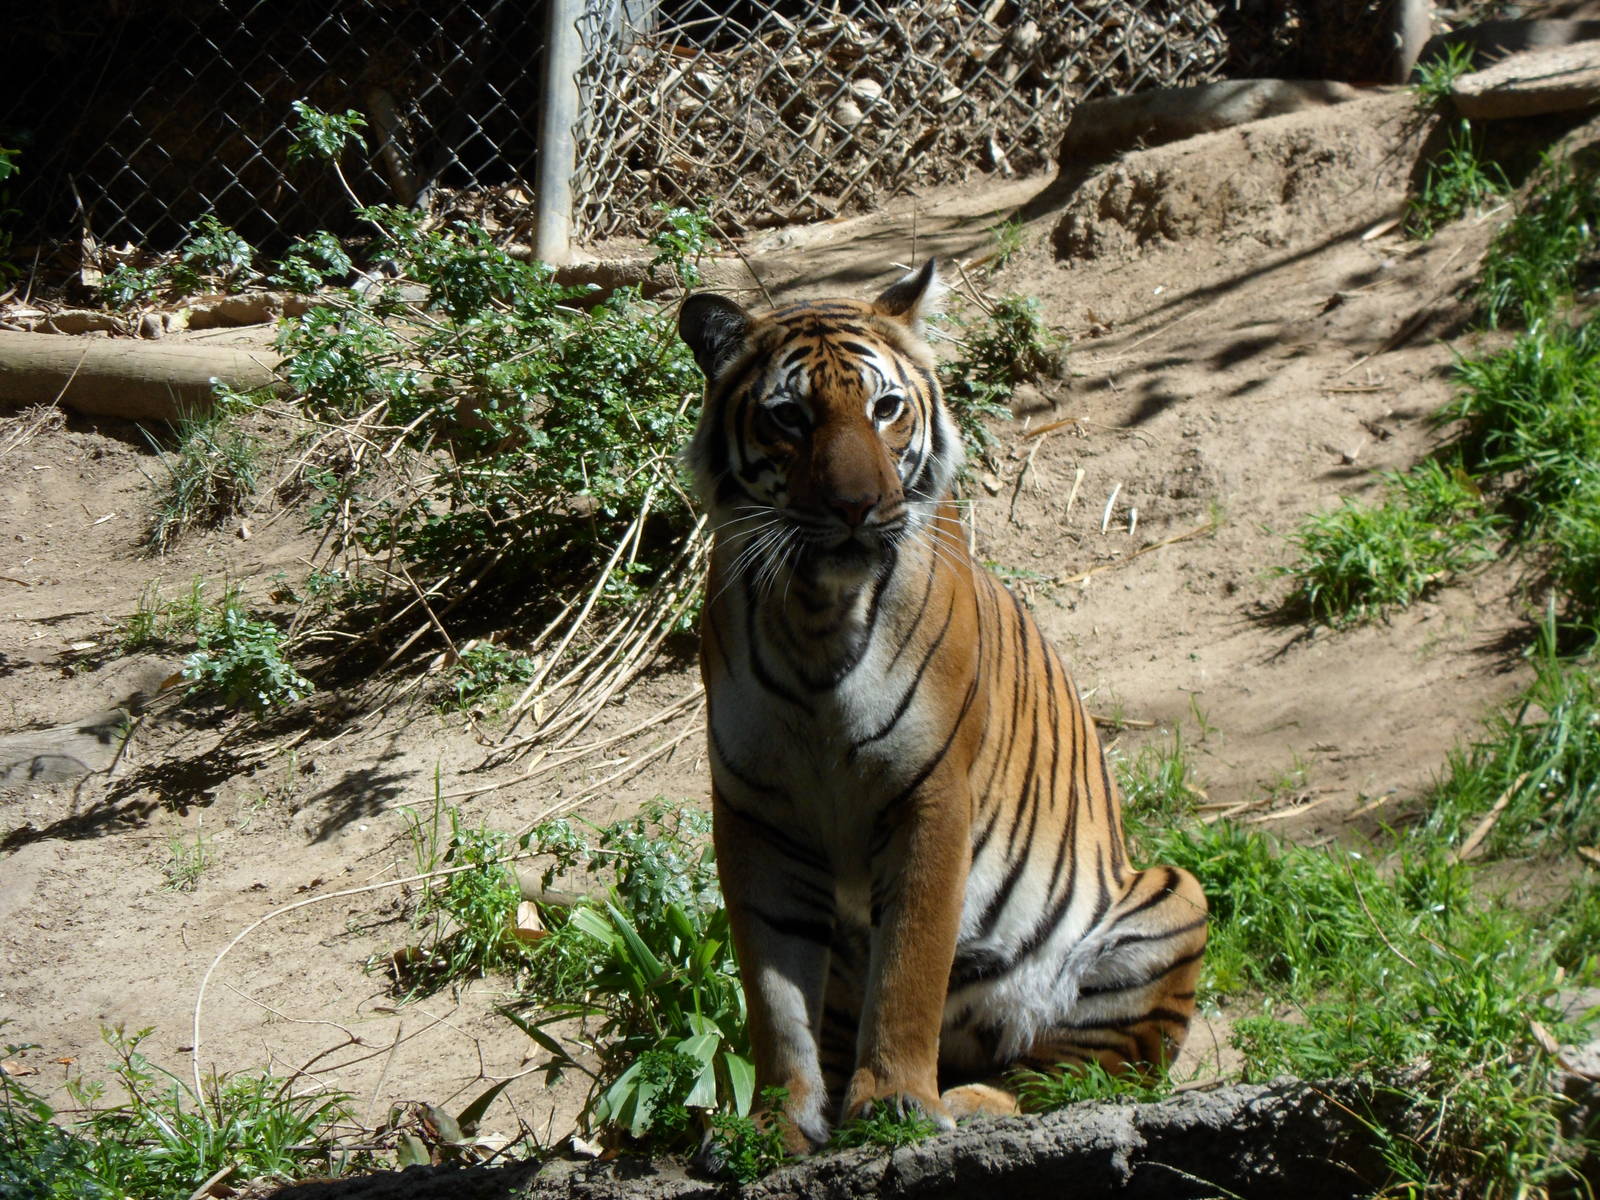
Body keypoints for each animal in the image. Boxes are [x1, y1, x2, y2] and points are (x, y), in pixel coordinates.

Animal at [677, 260, 1207, 1153]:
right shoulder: (755, 816)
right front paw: (778, 1121)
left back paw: (970, 1100)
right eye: (790, 417)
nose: (857, 506)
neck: (818, 614)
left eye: (886, 407)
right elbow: (775, 997)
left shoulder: (929, 794)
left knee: (1075, 1073)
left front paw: (894, 1100)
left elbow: (910, 967)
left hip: (1172, 900)